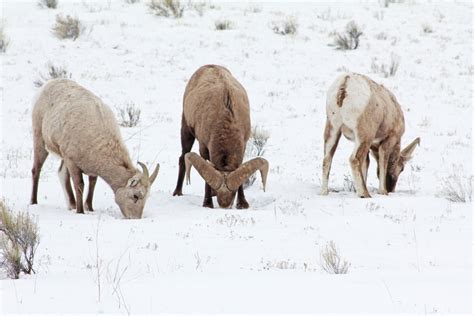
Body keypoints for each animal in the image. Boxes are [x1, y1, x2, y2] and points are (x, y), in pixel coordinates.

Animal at [29, 78, 159, 220]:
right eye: (135, 195)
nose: (135, 218)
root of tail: (47, 85)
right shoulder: (72, 162)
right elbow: (80, 185)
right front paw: (80, 211)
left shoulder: (89, 167)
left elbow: (92, 184)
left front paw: (89, 208)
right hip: (40, 141)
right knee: (36, 170)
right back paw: (34, 202)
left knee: (61, 174)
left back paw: (71, 205)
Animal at [173, 64, 270, 209]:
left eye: (234, 192)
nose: (225, 204)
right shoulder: (203, 146)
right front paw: (208, 203)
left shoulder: (243, 145)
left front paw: (242, 204)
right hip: (186, 131)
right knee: (182, 158)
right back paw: (177, 193)